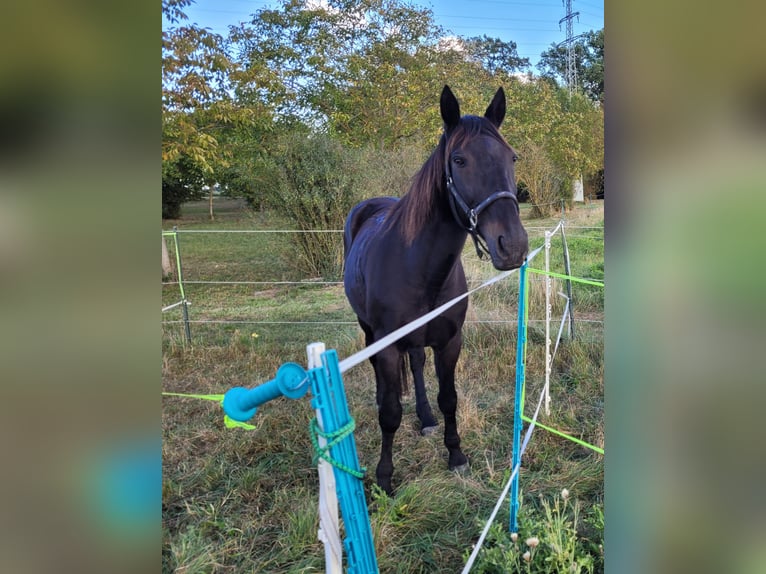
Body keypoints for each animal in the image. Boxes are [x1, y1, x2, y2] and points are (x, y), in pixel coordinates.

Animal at [344, 84, 532, 496]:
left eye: (512, 157)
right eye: (459, 160)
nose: (512, 246)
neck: (417, 267)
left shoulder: (449, 340)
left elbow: (449, 398)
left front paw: (456, 454)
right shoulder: (388, 345)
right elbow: (390, 413)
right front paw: (385, 477)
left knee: (416, 365)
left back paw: (425, 416)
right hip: (368, 331)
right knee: (382, 374)